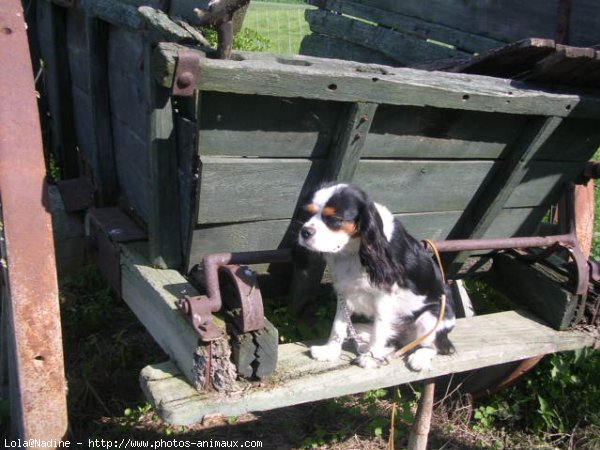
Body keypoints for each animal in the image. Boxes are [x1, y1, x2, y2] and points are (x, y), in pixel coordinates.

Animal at [296, 181, 454, 370]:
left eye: (335, 220)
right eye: (308, 214)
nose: (305, 231)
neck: (354, 251)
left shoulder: (384, 296)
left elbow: (379, 331)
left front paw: (370, 359)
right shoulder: (345, 292)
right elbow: (338, 325)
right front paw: (330, 351)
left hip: (430, 317)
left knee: (437, 346)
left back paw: (418, 358)